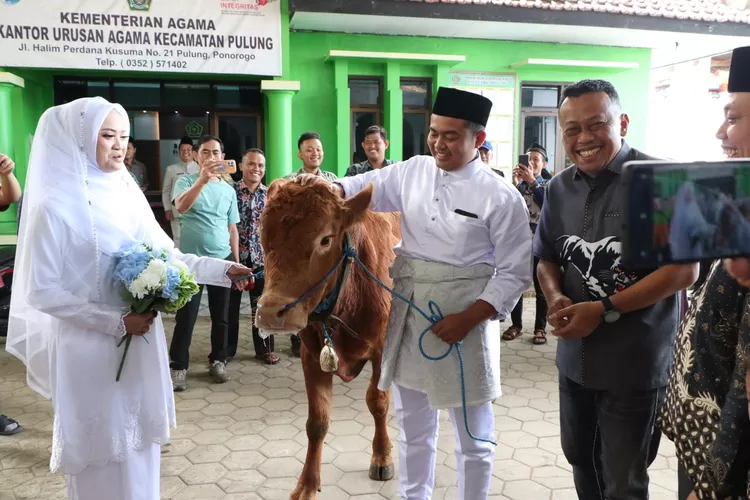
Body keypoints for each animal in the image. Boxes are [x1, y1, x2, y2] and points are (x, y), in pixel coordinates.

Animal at [256, 177, 402, 500]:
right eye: (262, 235)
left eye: (325, 240)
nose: (271, 312)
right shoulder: (311, 354)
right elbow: (317, 421)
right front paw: (307, 485)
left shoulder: (382, 349)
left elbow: (378, 402)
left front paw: (382, 457)